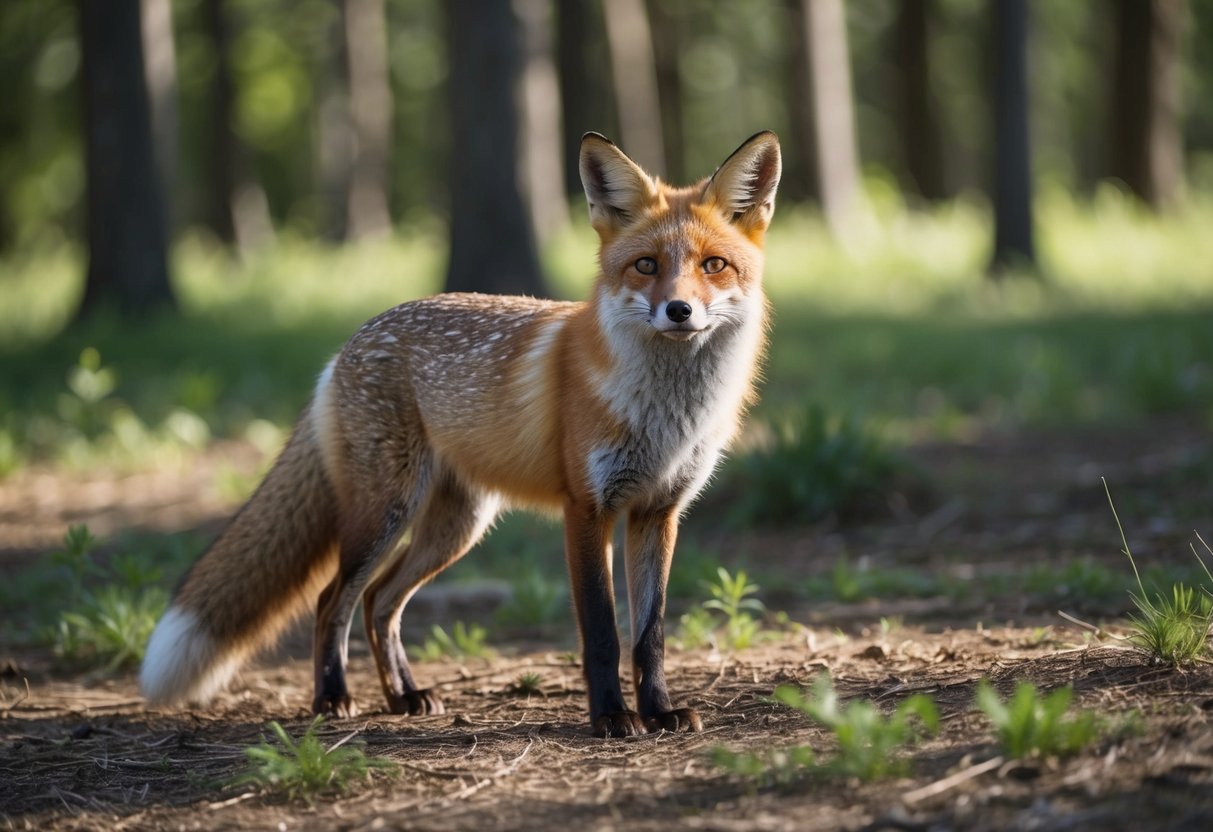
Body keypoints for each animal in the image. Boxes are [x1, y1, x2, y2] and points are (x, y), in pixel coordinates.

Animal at [140, 131, 781, 737]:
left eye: (713, 265)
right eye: (646, 265)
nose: (679, 311)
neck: (666, 415)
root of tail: (348, 344)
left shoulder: (658, 512)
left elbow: (651, 637)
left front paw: (660, 712)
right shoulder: (587, 508)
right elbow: (602, 632)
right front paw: (610, 718)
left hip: (455, 527)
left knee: (379, 601)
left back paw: (403, 696)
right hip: (385, 514)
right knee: (332, 600)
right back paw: (333, 697)